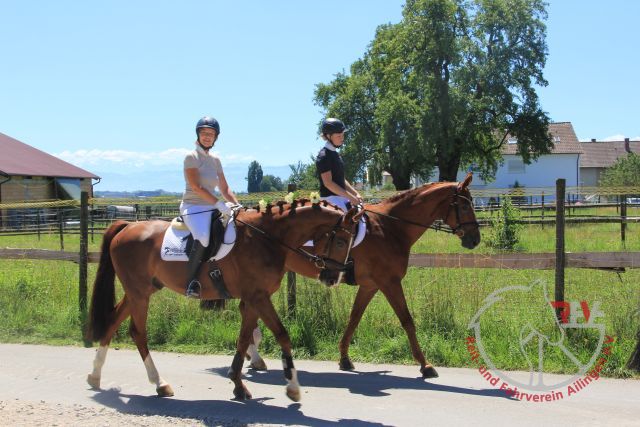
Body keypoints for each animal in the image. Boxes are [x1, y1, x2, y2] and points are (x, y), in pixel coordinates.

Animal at [85, 199, 361, 401]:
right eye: (340, 240)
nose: (333, 277)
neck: (266, 238)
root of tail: (127, 226)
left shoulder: (253, 298)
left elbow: (243, 339)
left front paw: (239, 384)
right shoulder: (258, 297)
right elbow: (282, 334)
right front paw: (292, 388)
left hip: (140, 291)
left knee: (112, 321)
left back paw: (95, 375)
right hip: (139, 293)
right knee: (138, 332)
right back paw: (159, 383)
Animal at [247, 173, 481, 378]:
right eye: (465, 206)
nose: (475, 239)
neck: (392, 227)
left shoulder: (370, 285)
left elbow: (354, 318)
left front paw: (344, 358)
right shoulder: (389, 282)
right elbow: (407, 320)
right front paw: (425, 365)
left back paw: (253, 357)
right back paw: (254, 356)